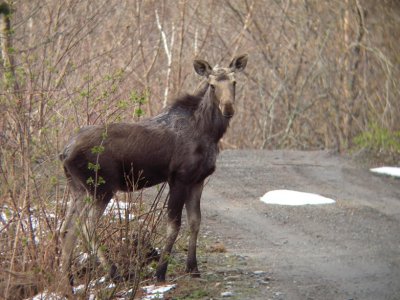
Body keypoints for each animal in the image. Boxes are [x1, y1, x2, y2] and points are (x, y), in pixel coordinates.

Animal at [59, 54, 247, 286]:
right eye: (212, 85)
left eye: (234, 82)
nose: (228, 108)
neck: (210, 133)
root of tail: (64, 153)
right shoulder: (179, 178)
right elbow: (174, 226)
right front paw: (160, 272)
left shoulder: (198, 179)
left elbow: (195, 221)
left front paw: (193, 268)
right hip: (101, 188)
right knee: (87, 227)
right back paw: (115, 273)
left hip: (79, 190)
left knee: (67, 229)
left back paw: (67, 281)